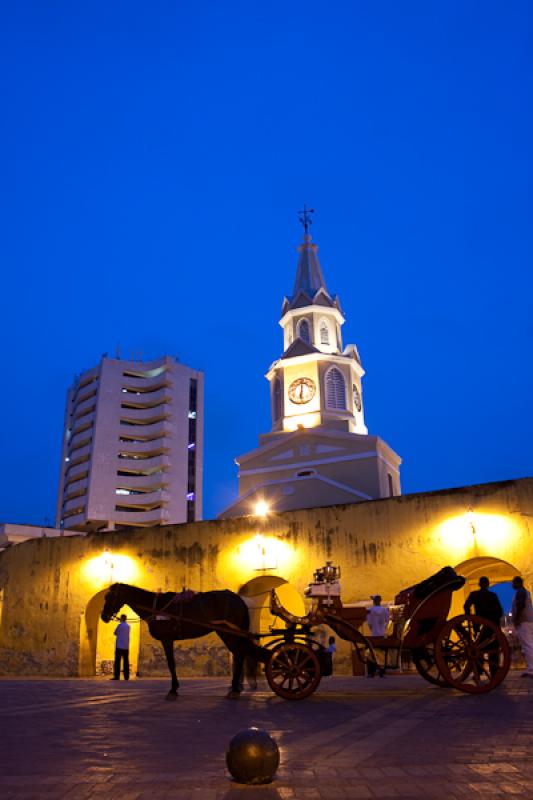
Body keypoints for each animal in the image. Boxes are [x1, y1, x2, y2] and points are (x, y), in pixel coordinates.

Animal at [100, 580, 260, 700]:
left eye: (109, 597)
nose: (103, 616)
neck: (156, 608)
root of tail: (239, 599)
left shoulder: (167, 639)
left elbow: (171, 664)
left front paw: (173, 689)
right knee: (240, 653)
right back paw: (236, 687)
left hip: (227, 632)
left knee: (239, 654)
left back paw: (235, 688)